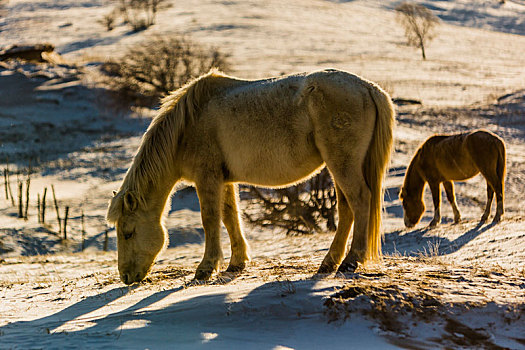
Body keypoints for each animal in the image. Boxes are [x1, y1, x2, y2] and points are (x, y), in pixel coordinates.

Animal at [106, 68, 392, 284]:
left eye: (128, 233)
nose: (126, 277)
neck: (188, 123)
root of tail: (368, 88)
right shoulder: (224, 180)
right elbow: (230, 217)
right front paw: (236, 263)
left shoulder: (207, 178)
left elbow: (210, 220)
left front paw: (205, 269)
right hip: (339, 167)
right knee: (346, 209)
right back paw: (329, 263)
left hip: (342, 164)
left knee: (360, 201)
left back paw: (350, 261)